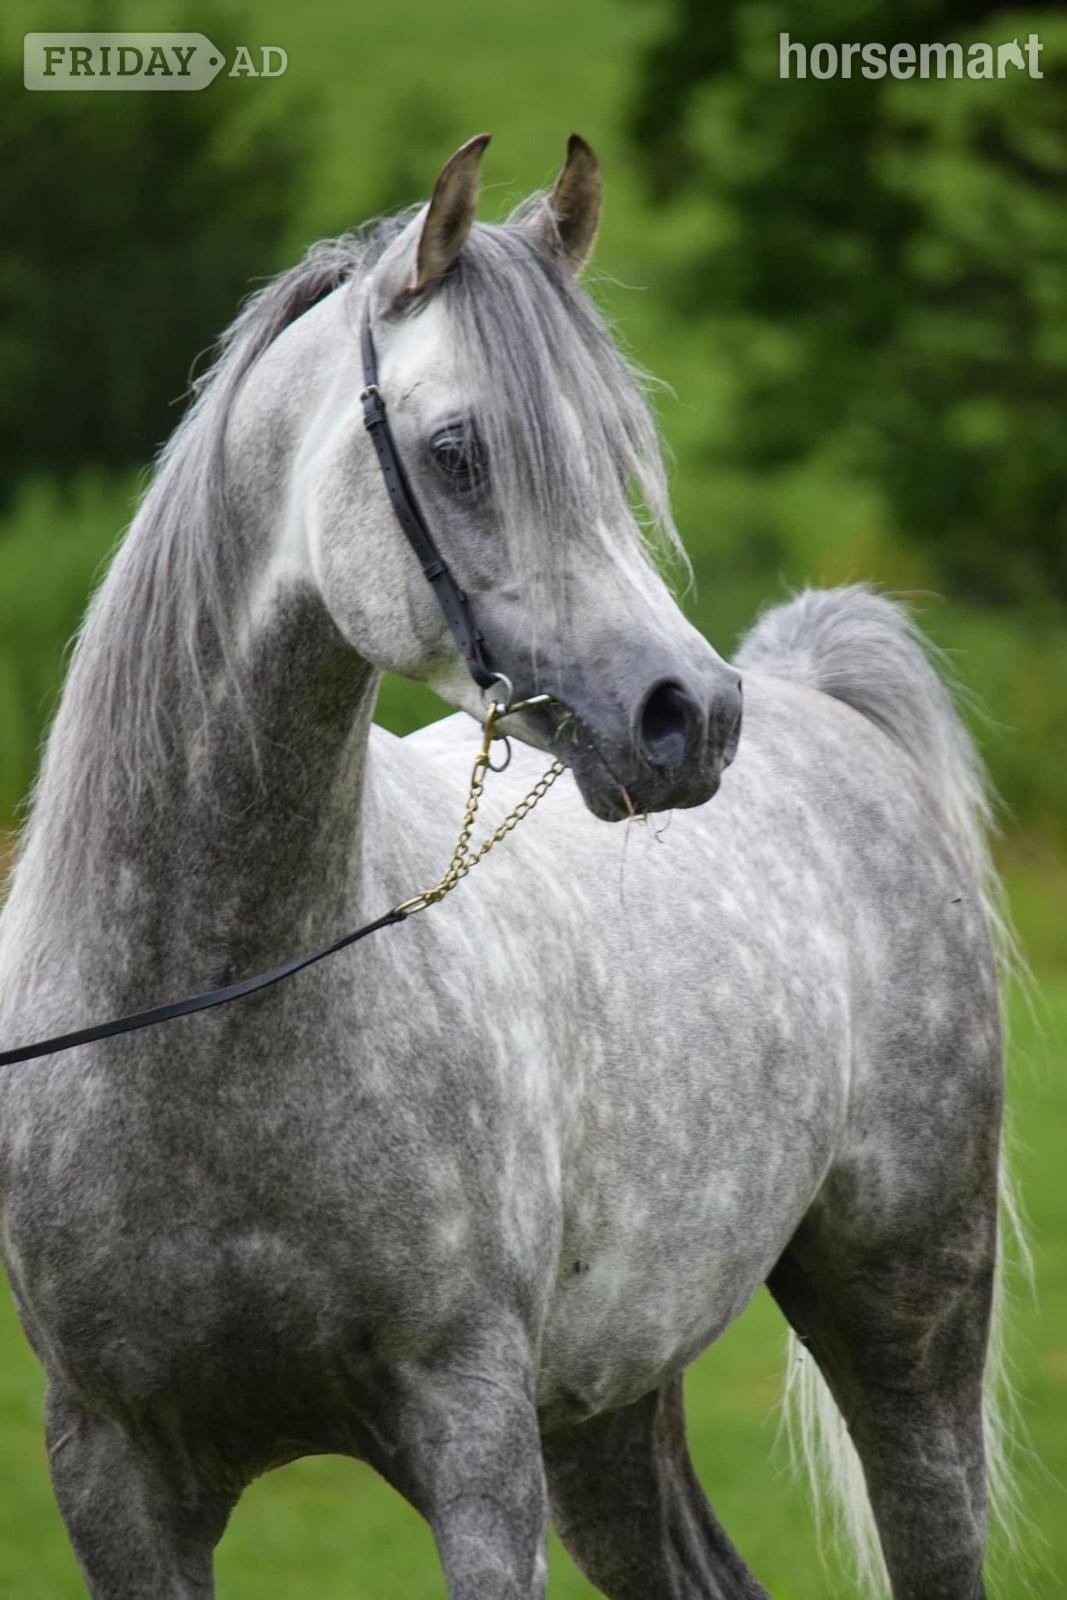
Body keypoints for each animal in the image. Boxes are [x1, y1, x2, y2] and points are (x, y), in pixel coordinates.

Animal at [0, 133, 1015, 1599]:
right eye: (456, 450)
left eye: (613, 449)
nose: (686, 718)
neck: (200, 1032)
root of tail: (803, 688)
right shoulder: (115, 1479)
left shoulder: (473, 1446)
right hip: (608, 1402)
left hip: (905, 1320)